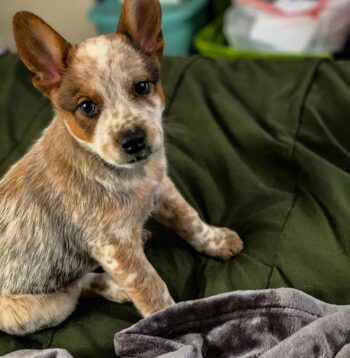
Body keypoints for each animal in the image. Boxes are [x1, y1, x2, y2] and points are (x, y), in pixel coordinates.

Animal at [0, 0, 243, 336]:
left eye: (141, 87)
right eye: (87, 106)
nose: (134, 141)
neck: (130, 175)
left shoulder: (162, 187)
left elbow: (190, 219)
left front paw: (215, 240)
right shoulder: (113, 247)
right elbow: (152, 288)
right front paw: (173, 327)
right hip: (42, 307)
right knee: (78, 288)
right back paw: (115, 287)